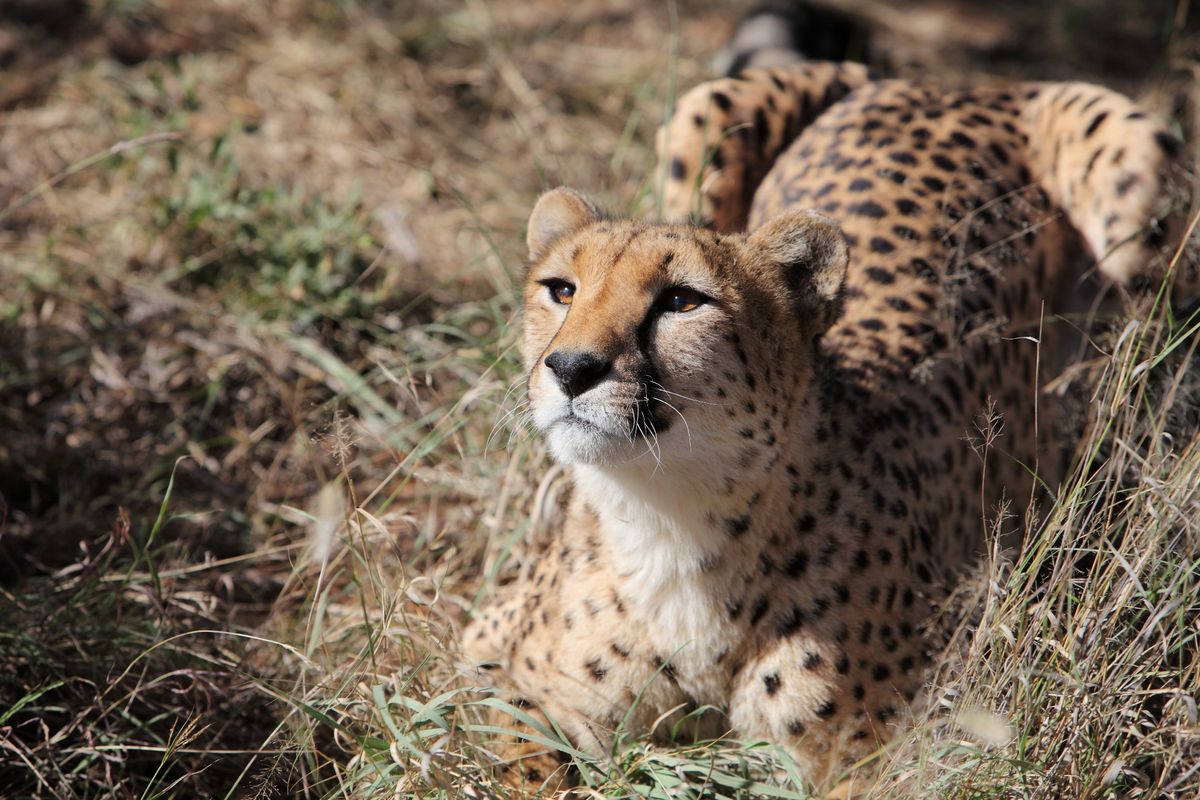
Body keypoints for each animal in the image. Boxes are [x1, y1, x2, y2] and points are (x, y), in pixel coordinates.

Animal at [462, 59, 1195, 793]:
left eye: (681, 301)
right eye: (562, 290)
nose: (571, 368)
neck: (674, 518)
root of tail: (952, 82)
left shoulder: (878, 762)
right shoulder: (499, 660)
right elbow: (523, 764)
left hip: (1138, 204)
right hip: (705, 116)